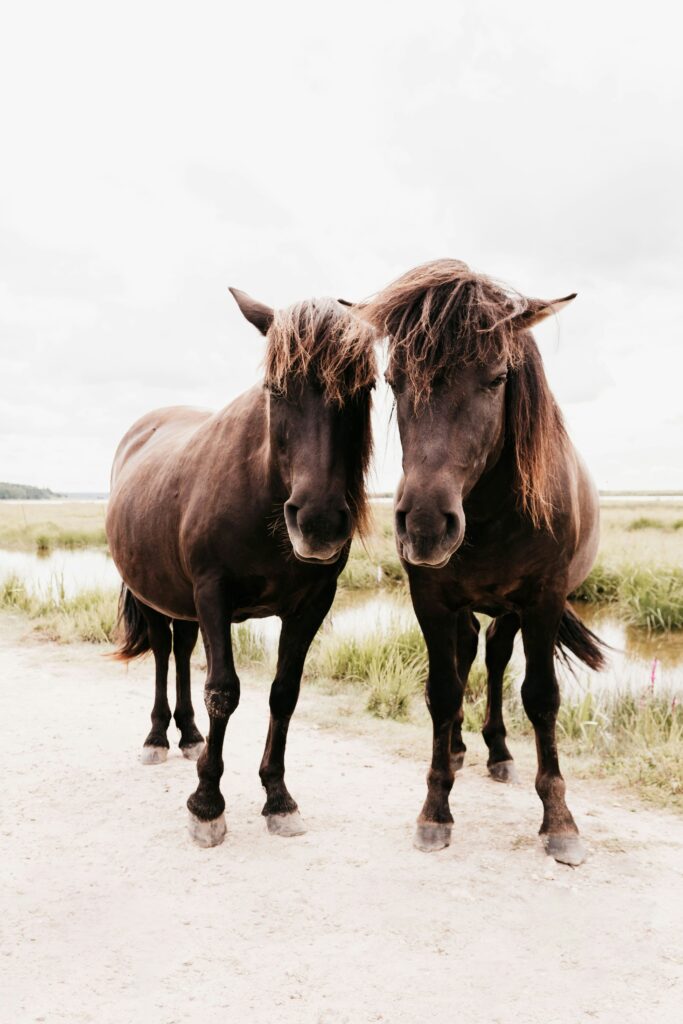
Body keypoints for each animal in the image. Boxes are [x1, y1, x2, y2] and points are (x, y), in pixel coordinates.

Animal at [105, 290, 377, 847]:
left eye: (366, 387)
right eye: (276, 387)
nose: (318, 522)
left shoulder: (312, 604)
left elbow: (284, 694)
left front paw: (278, 796)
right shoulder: (214, 593)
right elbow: (223, 692)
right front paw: (207, 803)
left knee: (182, 650)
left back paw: (189, 735)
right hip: (155, 595)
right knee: (163, 653)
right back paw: (158, 736)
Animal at [359, 259, 605, 866]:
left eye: (496, 379)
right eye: (393, 380)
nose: (425, 525)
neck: (491, 512)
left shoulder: (543, 599)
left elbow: (541, 697)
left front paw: (559, 820)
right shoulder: (429, 599)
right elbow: (443, 691)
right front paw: (435, 808)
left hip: (513, 610)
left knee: (494, 658)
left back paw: (498, 751)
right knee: (471, 652)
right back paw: (458, 748)